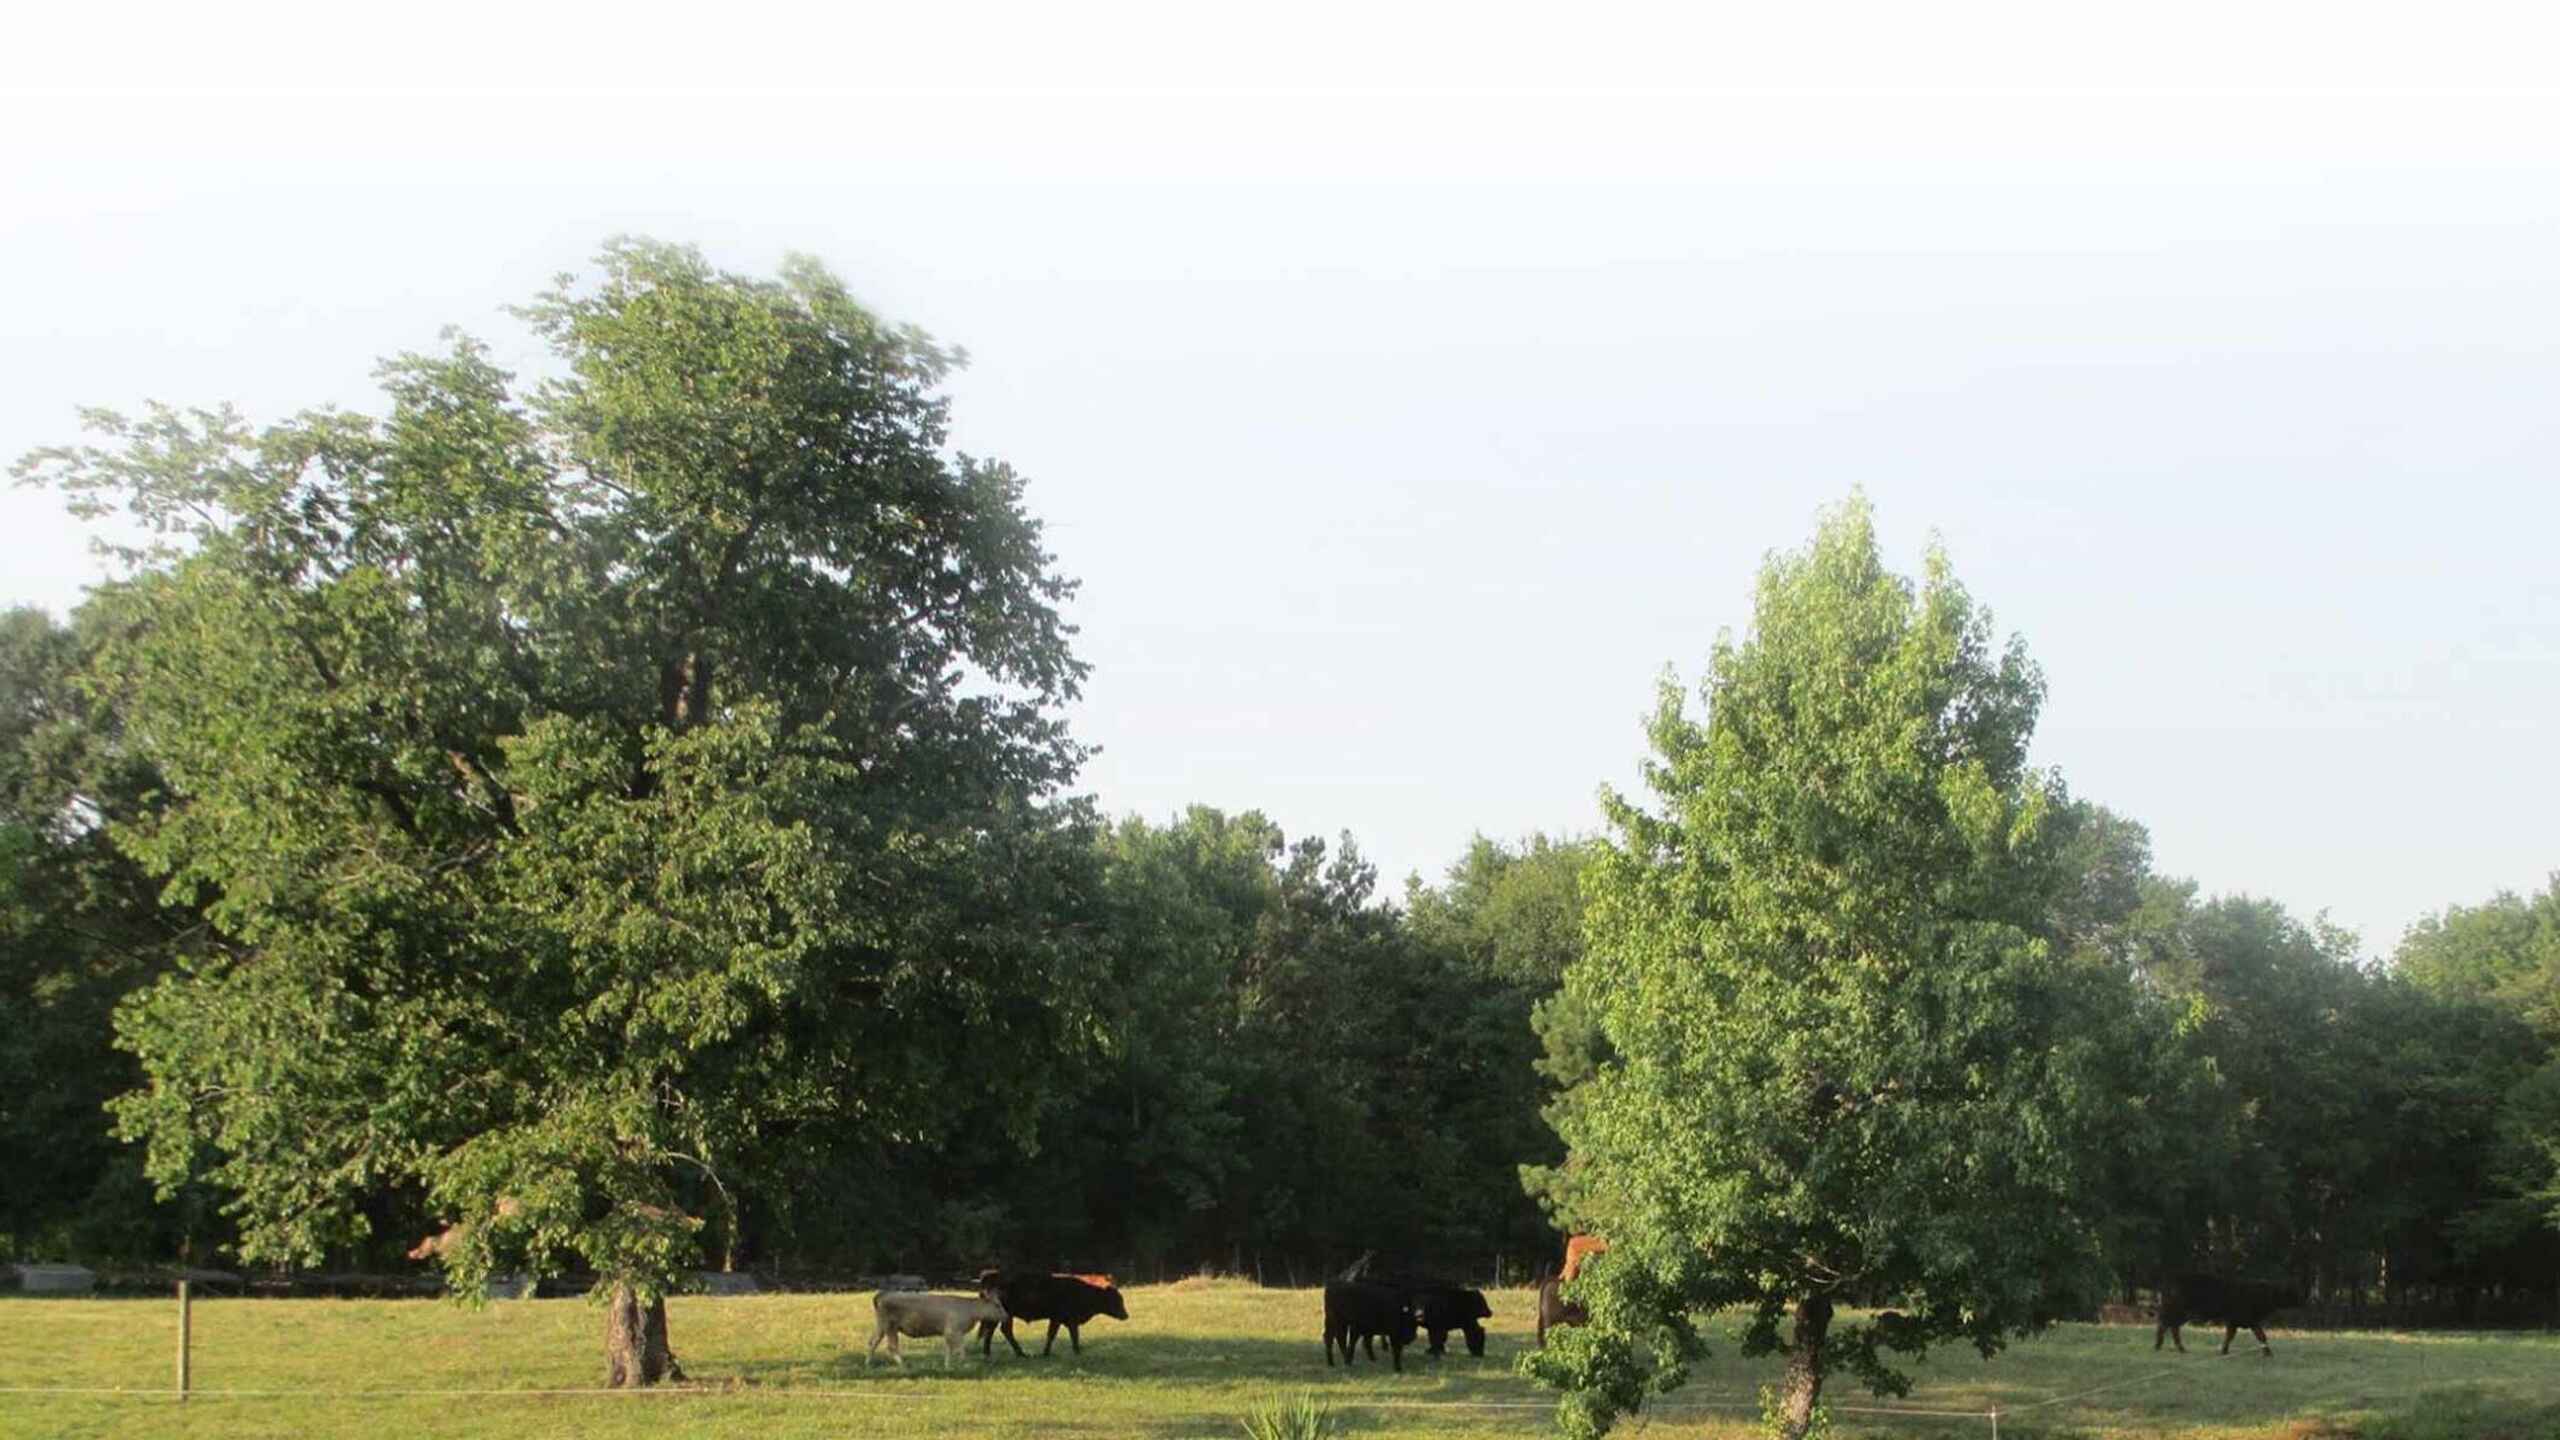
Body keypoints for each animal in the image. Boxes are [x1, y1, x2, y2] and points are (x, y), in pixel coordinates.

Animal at [868, 1290, 1008, 1369]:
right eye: (997, 1305)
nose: (1006, 1316)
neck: (969, 1310)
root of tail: (882, 1294)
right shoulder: (954, 1331)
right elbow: (960, 1350)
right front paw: (965, 1364)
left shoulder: (949, 1333)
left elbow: (949, 1350)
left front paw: (947, 1366)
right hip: (890, 1326)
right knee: (891, 1347)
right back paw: (903, 1365)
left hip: (882, 1325)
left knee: (873, 1342)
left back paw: (868, 1364)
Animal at [975, 1271, 1130, 1357]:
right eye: (1116, 1299)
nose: (1126, 1315)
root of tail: (990, 1275)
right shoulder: (1063, 1318)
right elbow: (1063, 1335)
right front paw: (1074, 1352)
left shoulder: (1063, 1319)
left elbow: (1062, 1335)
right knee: (993, 1331)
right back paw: (993, 1353)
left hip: (1006, 1316)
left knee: (1003, 1331)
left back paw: (1018, 1353)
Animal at [2155, 1274, 2303, 1356]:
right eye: (2290, 1291)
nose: (2302, 1300)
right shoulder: (2234, 1320)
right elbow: (2230, 1336)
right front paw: (2224, 1351)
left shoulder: (2252, 1321)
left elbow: (2261, 1335)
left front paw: (2268, 1353)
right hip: (2178, 1310)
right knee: (2166, 1325)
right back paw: (2160, 1346)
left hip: (2181, 1313)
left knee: (2172, 1327)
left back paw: (2178, 1348)